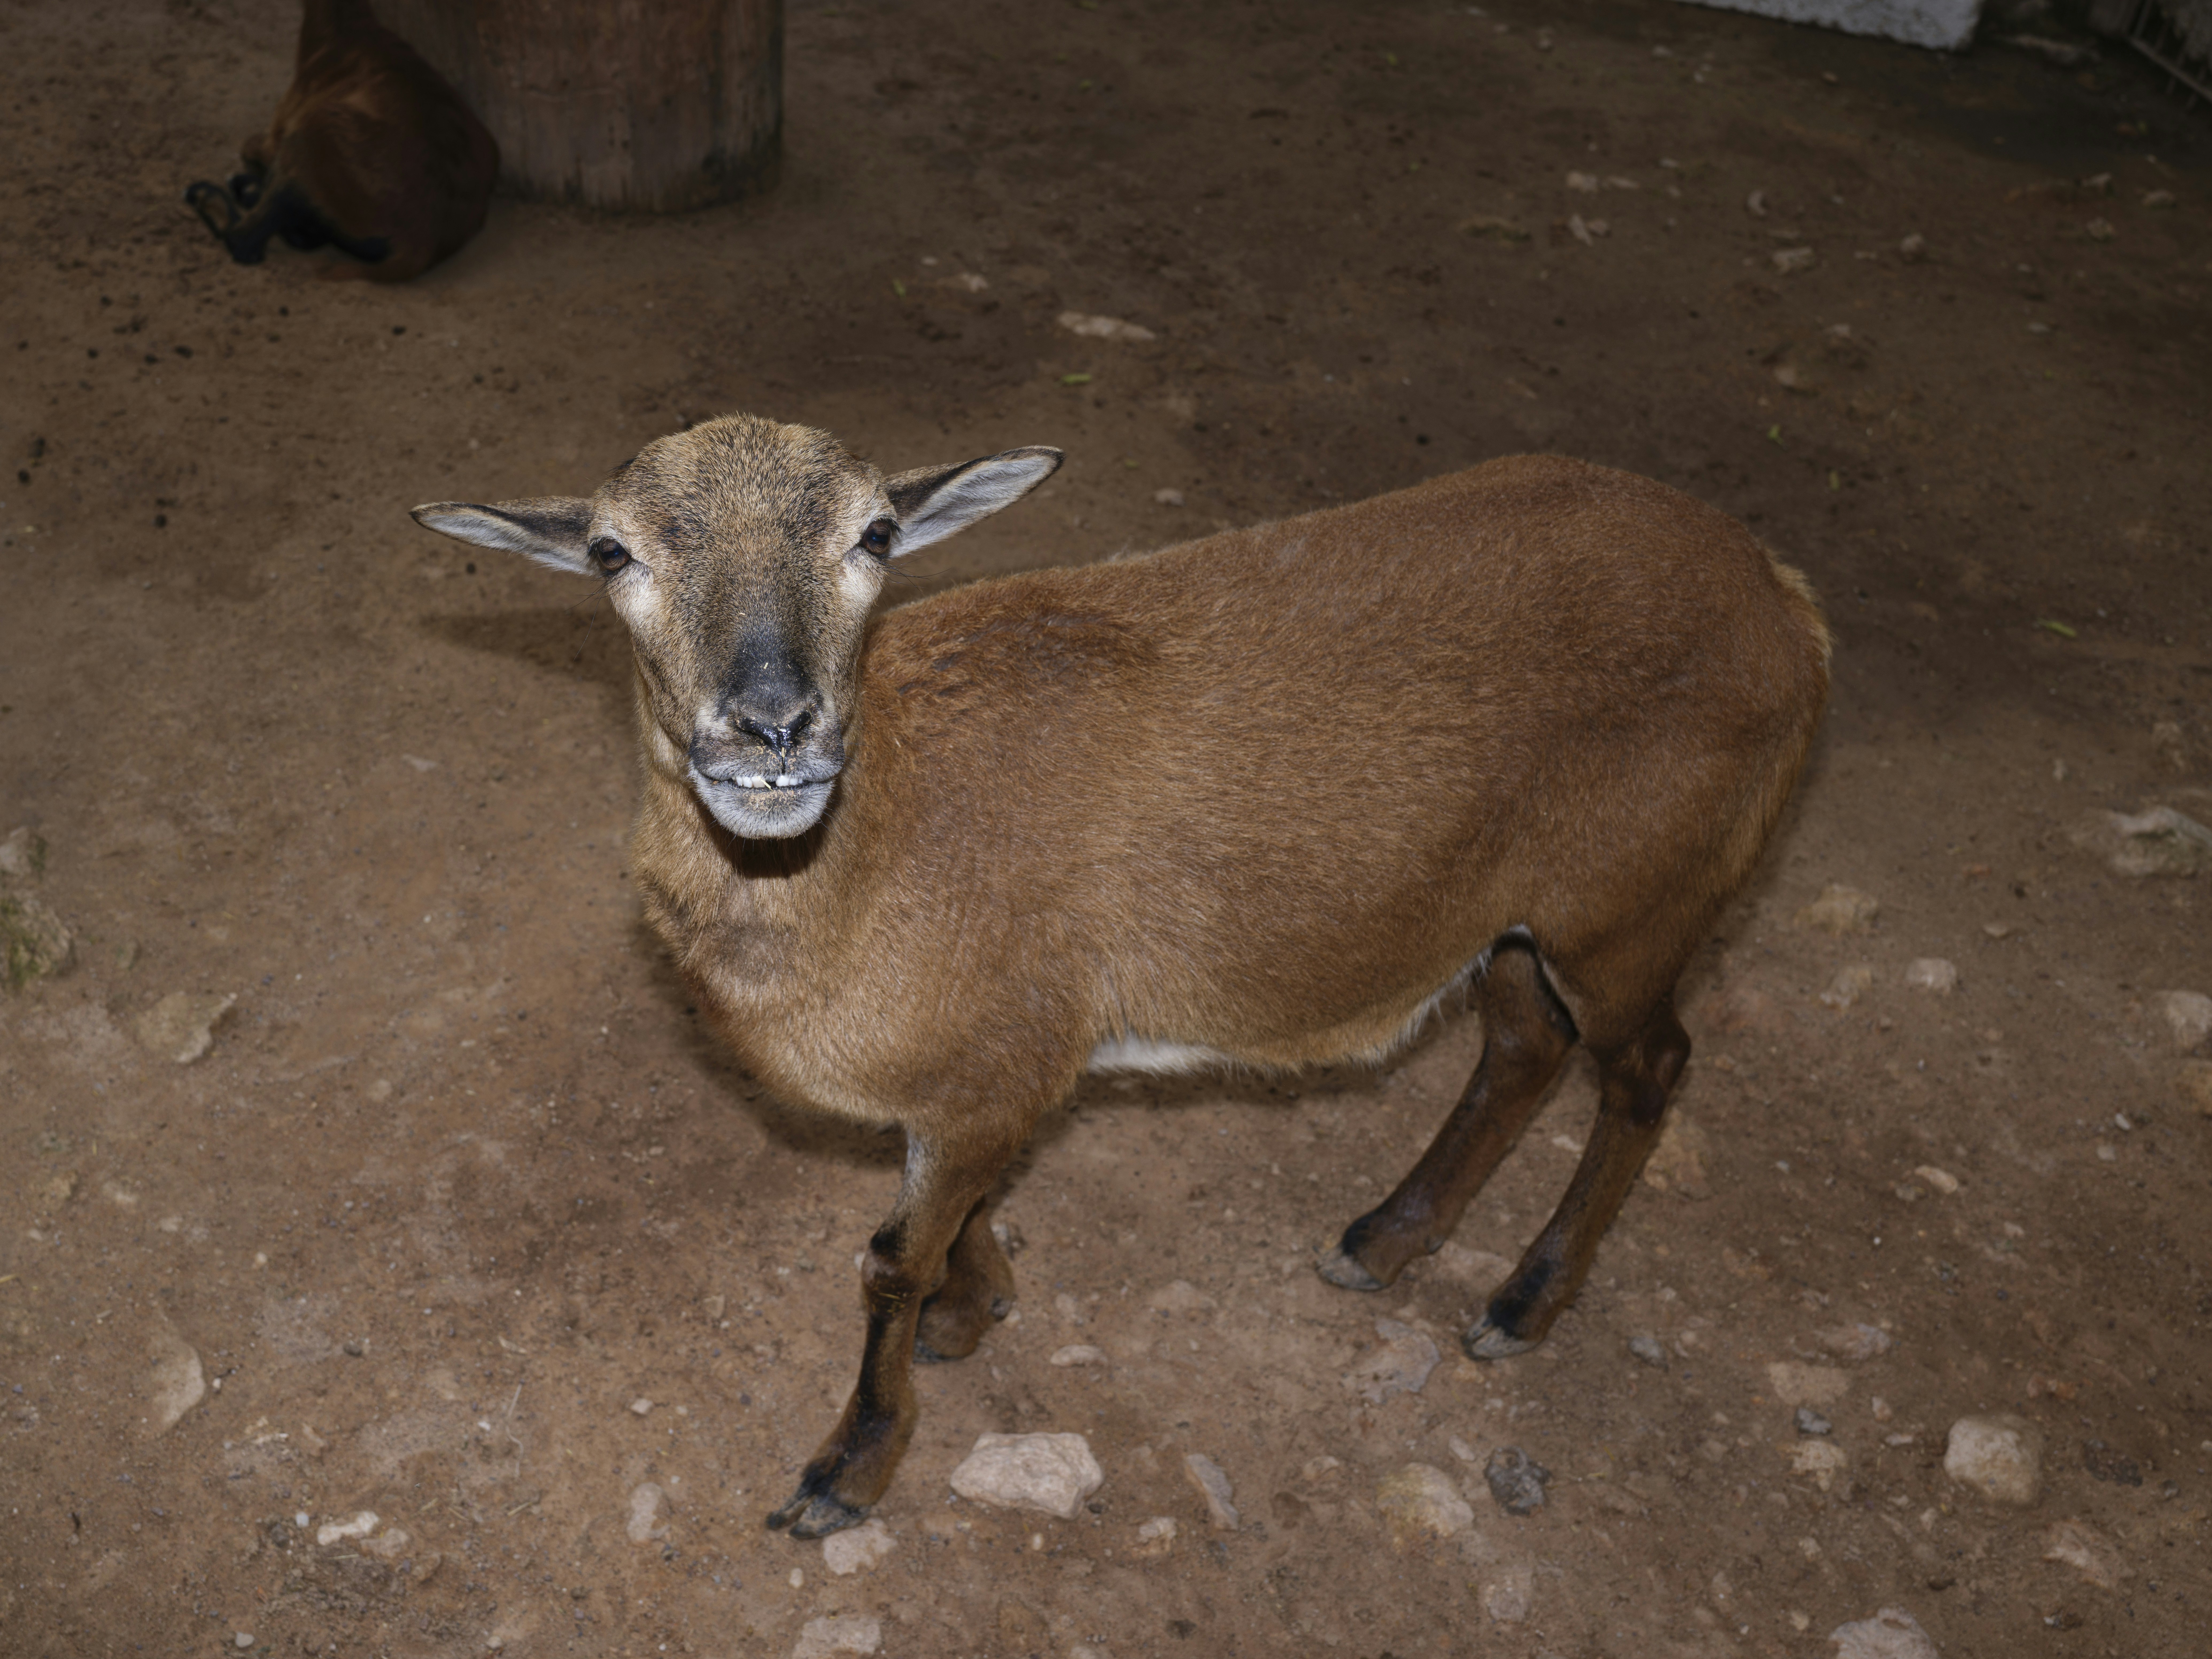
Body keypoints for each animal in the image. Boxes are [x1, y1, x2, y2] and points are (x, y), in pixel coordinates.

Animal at [410, 413, 1831, 1537]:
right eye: (611, 552)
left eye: (878, 533)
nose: (771, 728)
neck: (876, 850)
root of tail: (1778, 592)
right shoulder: (991, 1079)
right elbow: (955, 1221)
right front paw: (977, 1306)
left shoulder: (994, 1067)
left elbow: (887, 1262)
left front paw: (849, 1467)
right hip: (1505, 912)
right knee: (1525, 1048)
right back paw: (1385, 1238)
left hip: (1633, 902)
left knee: (1648, 1071)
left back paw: (1523, 1301)